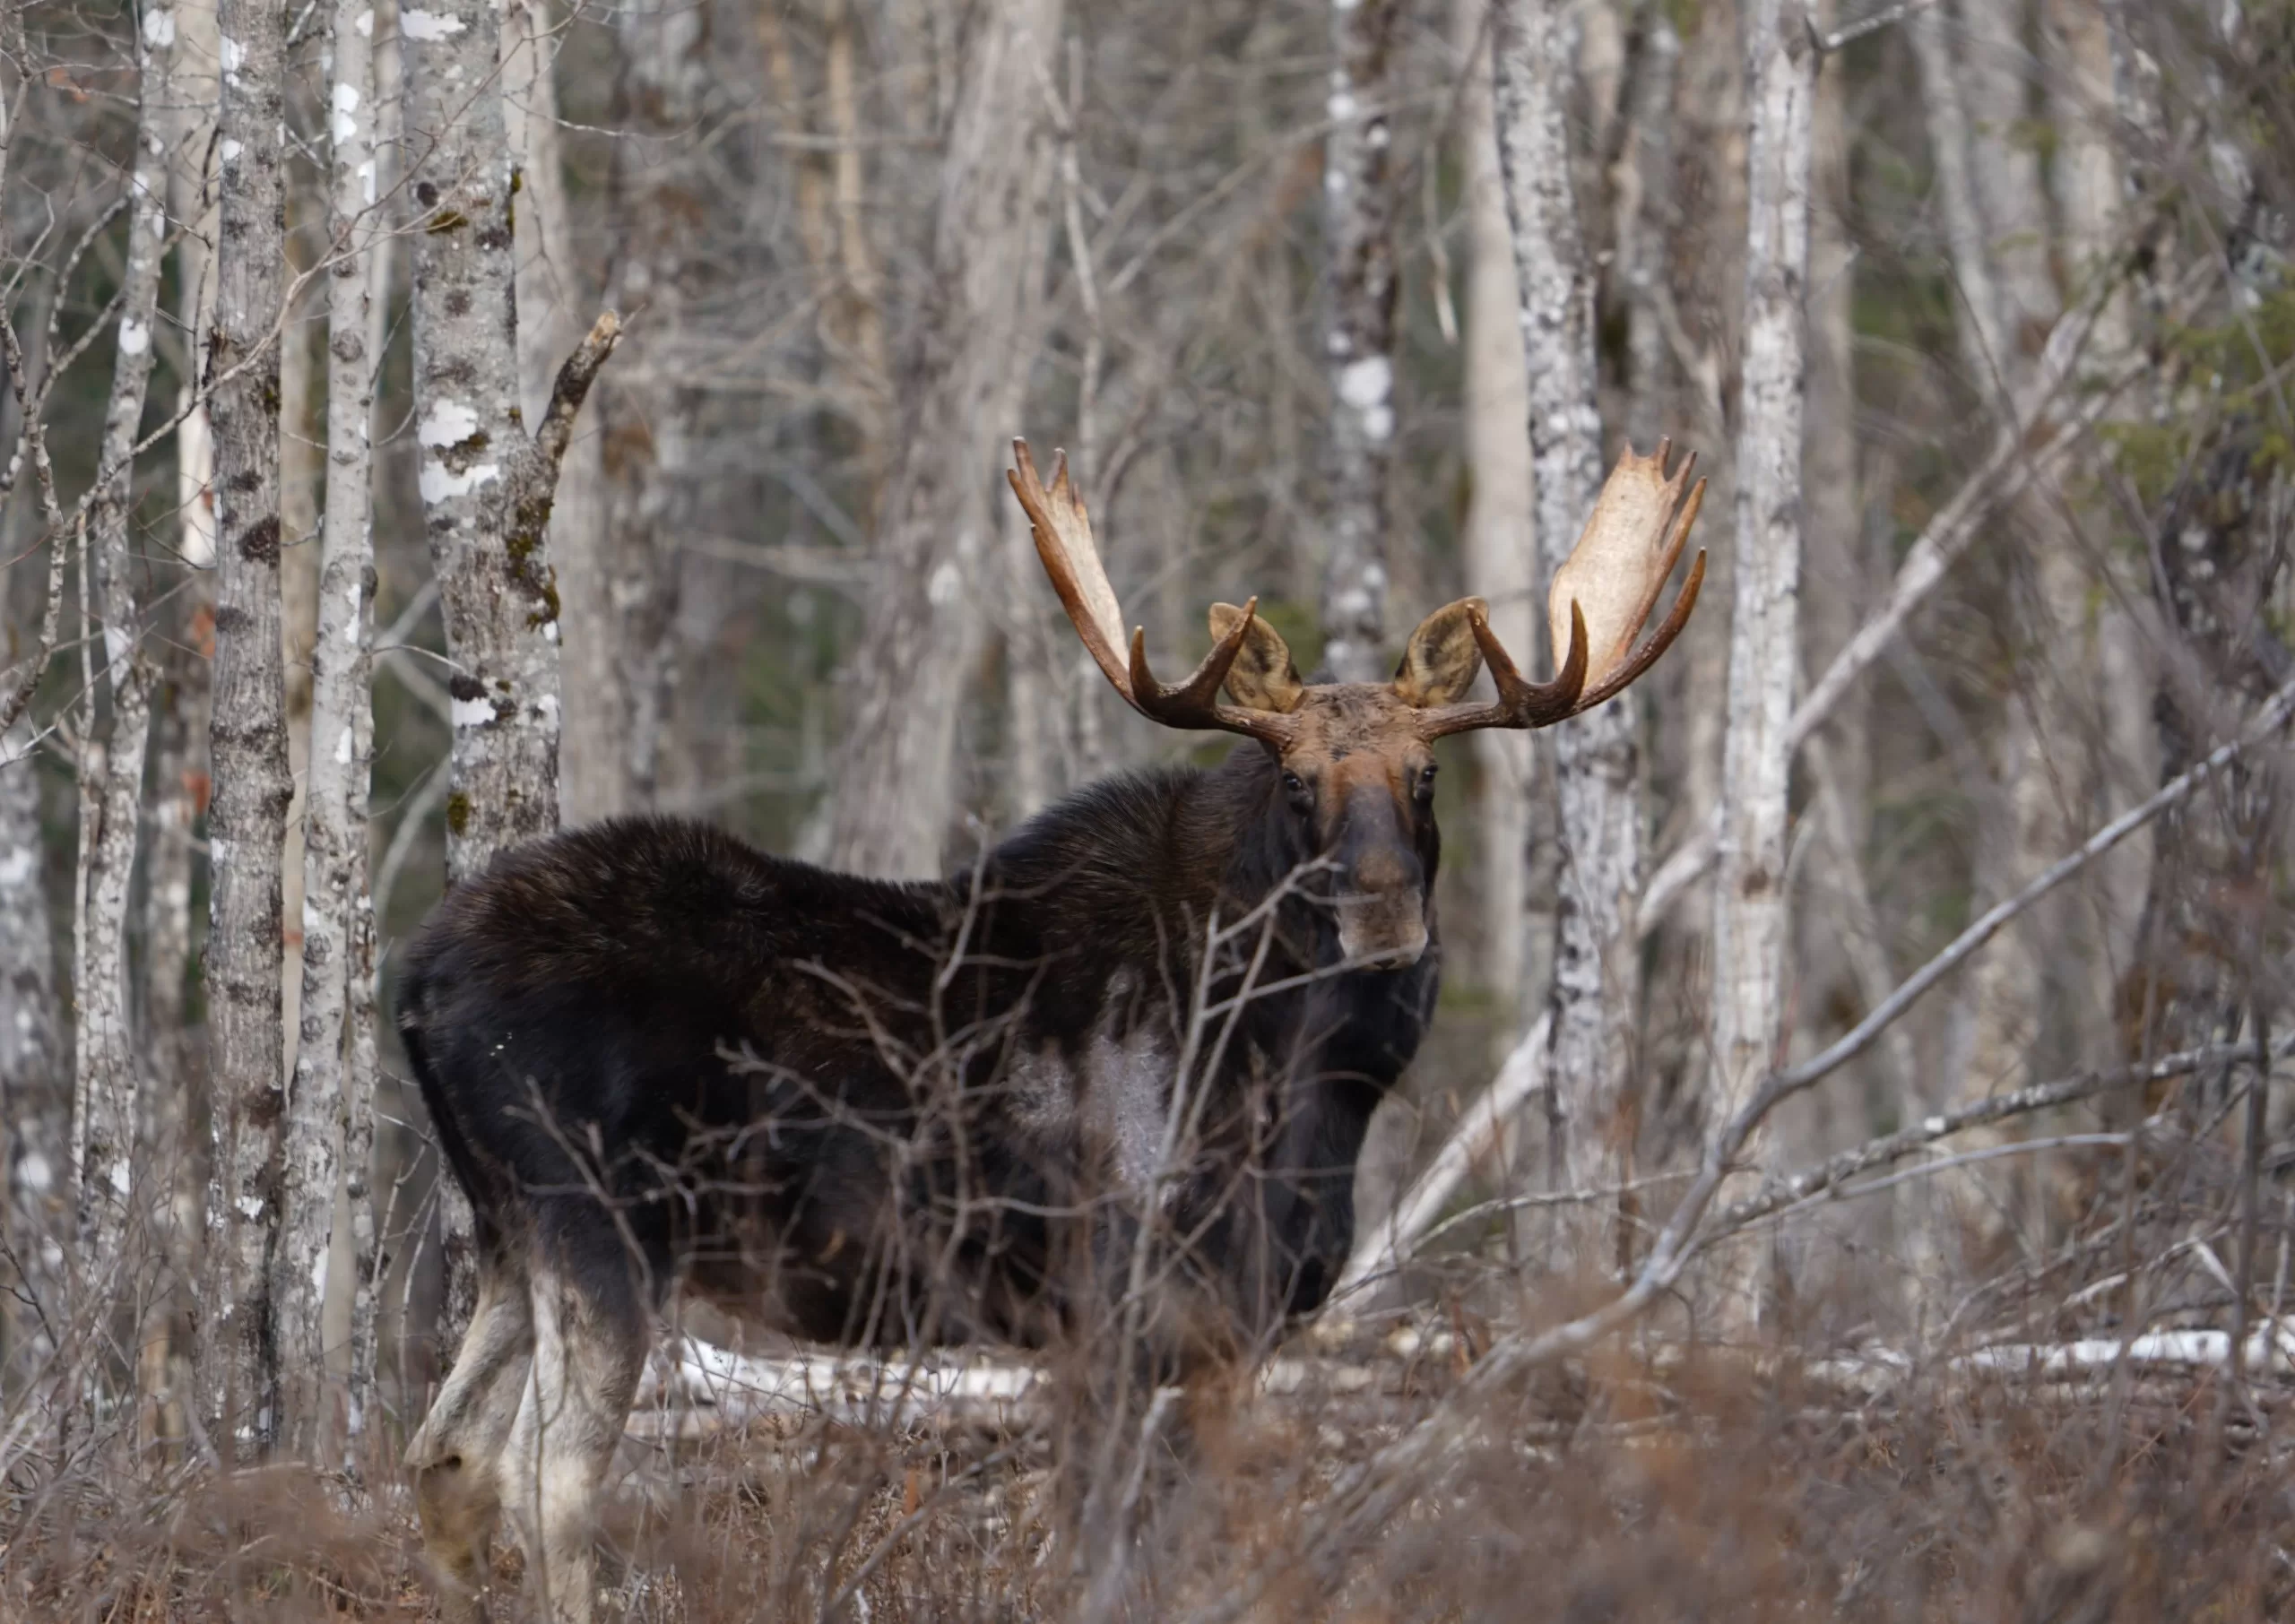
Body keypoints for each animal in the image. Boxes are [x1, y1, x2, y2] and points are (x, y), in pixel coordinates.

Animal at [396, 437, 1705, 1622]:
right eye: (1298, 785)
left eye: (1425, 778)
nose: (1382, 913)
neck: (1310, 1078)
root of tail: (411, 979)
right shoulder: (1120, 1304)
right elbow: (1111, 1551)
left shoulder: (1219, 1333)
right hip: (597, 1219)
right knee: (547, 1479)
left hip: (509, 1228)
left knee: (444, 1457)